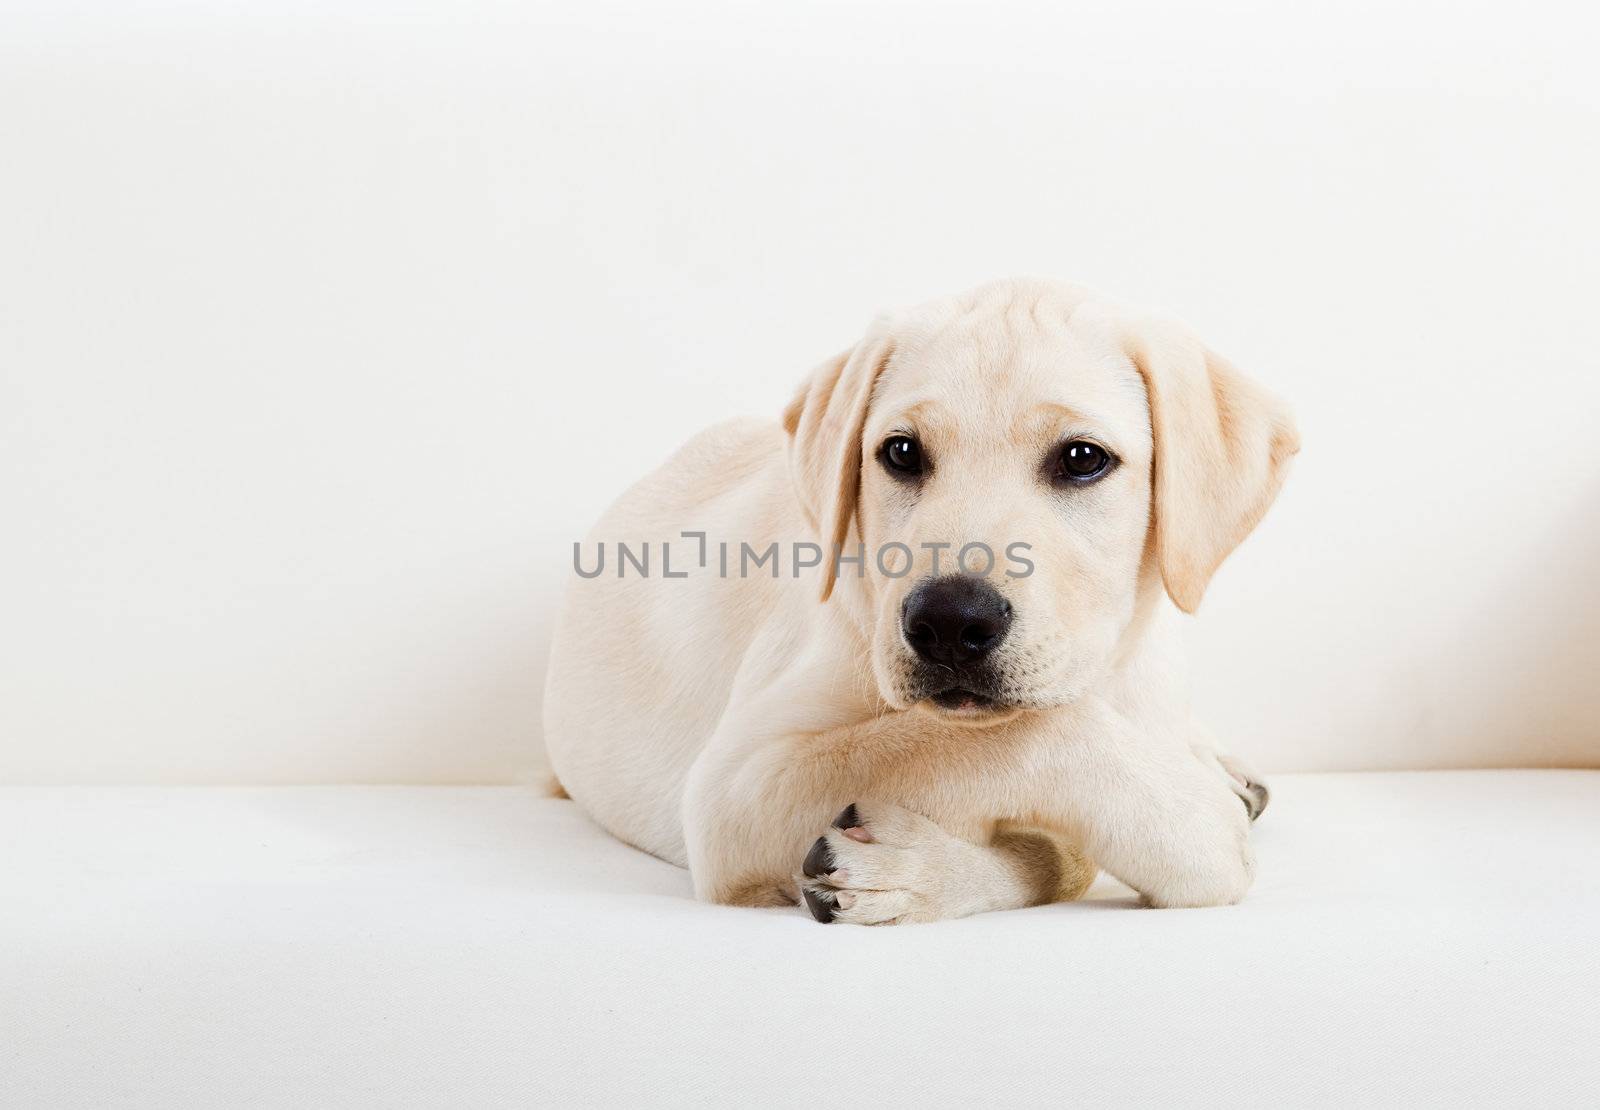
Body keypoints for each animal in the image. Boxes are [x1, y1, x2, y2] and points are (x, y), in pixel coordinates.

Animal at [544, 283, 1292, 927]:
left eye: (1083, 459)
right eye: (901, 453)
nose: (949, 623)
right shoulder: (732, 789)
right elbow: (996, 738)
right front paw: (1191, 824)